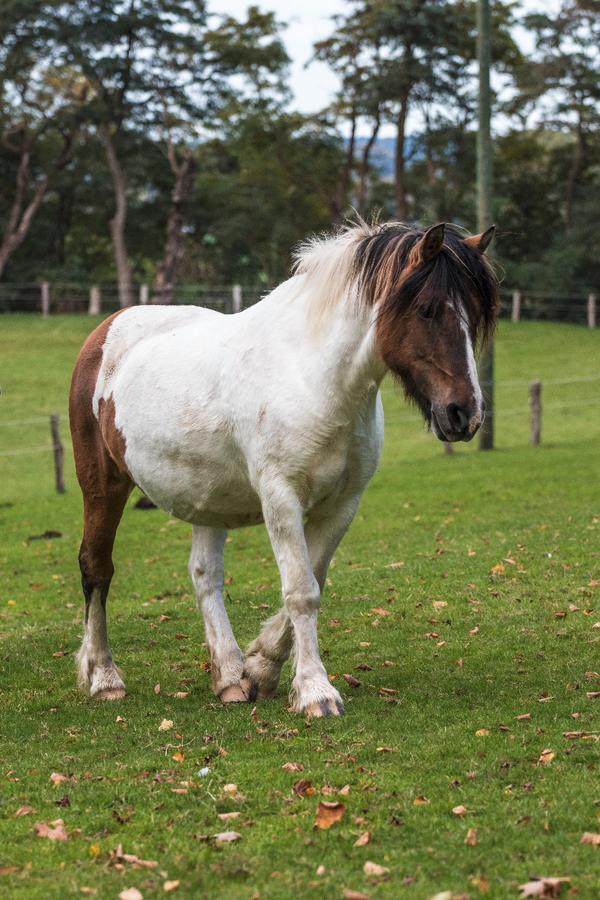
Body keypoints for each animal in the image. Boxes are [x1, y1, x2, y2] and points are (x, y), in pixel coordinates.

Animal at [69, 220, 496, 716]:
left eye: (476, 312)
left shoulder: (343, 505)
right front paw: (316, 692)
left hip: (206, 498)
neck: (312, 377)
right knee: (96, 567)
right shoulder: (281, 498)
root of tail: (105, 330)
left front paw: (260, 669)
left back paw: (229, 676)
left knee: (205, 576)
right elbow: (301, 591)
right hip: (103, 486)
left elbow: (315, 581)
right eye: (427, 309)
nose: (464, 414)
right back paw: (104, 677)